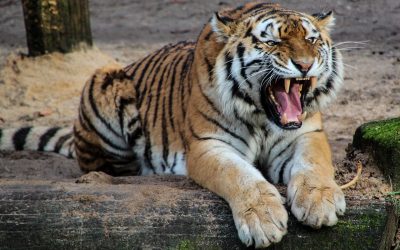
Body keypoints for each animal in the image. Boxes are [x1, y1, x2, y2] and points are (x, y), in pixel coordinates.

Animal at [0, 2, 346, 248]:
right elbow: (239, 175)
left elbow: (314, 164)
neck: (262, 117)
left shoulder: (306, 134)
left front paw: (320, 202)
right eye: (272, 42)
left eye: (312, 39)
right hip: (104, 79)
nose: (305, 65)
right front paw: (262, 219)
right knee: (104, 168)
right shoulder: (208, 145)